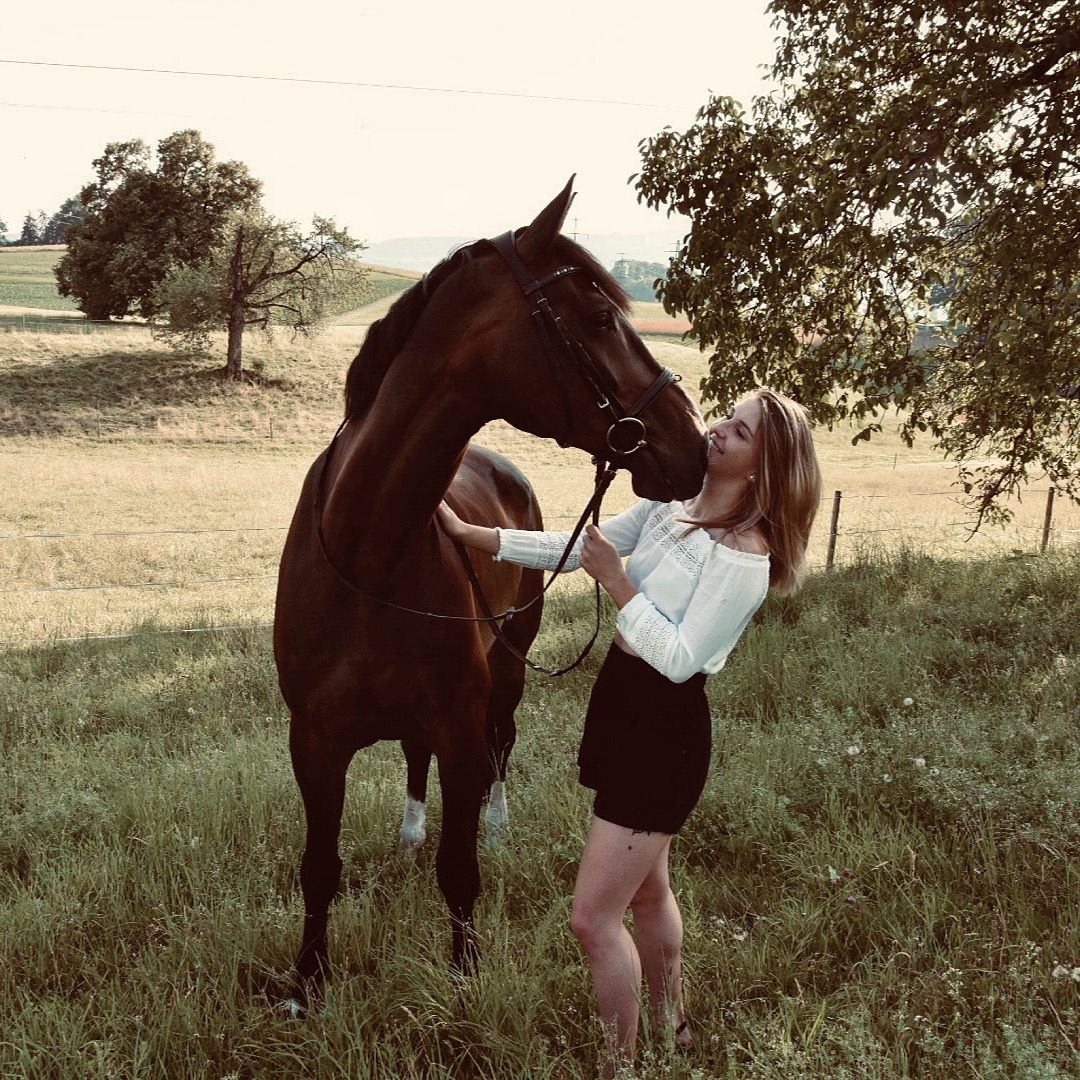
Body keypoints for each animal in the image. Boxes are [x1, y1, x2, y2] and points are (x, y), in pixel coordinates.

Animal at [273, 178, 708, 1007]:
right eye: (599, 318)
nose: (694, 447)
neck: (371, 551)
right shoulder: (314, 742)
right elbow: (320, 868)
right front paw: (308, 982)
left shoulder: (463, 730)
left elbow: (461, 865)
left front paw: (465, 974)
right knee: (413, 759)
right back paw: (410, 832)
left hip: (507, 674)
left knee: (504, 745)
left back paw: (499, 828)